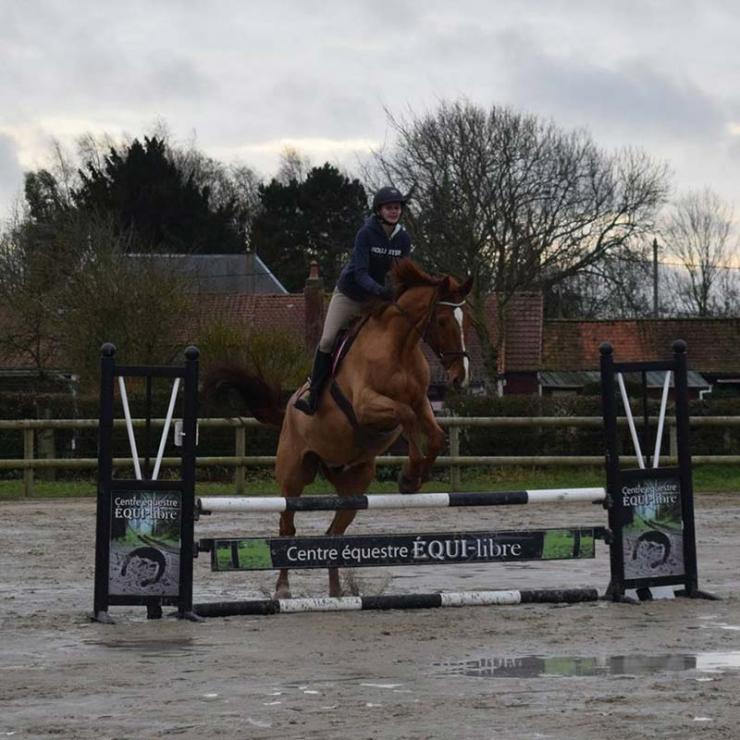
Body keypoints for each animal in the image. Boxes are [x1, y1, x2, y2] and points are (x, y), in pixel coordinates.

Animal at [205, 258, 472, 600]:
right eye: (441, 320)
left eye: (467, 323)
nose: (459, 377)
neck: (399, 347)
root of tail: (287, 409)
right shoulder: (366, 406)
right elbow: (406, 416)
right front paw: (410, 474)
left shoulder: (422, 402)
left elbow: (433, 433)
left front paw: (415, 477)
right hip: (294, 476)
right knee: (287, 527)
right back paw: (283, 589)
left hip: (354, 484)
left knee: (334, 534)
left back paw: (336, 592)